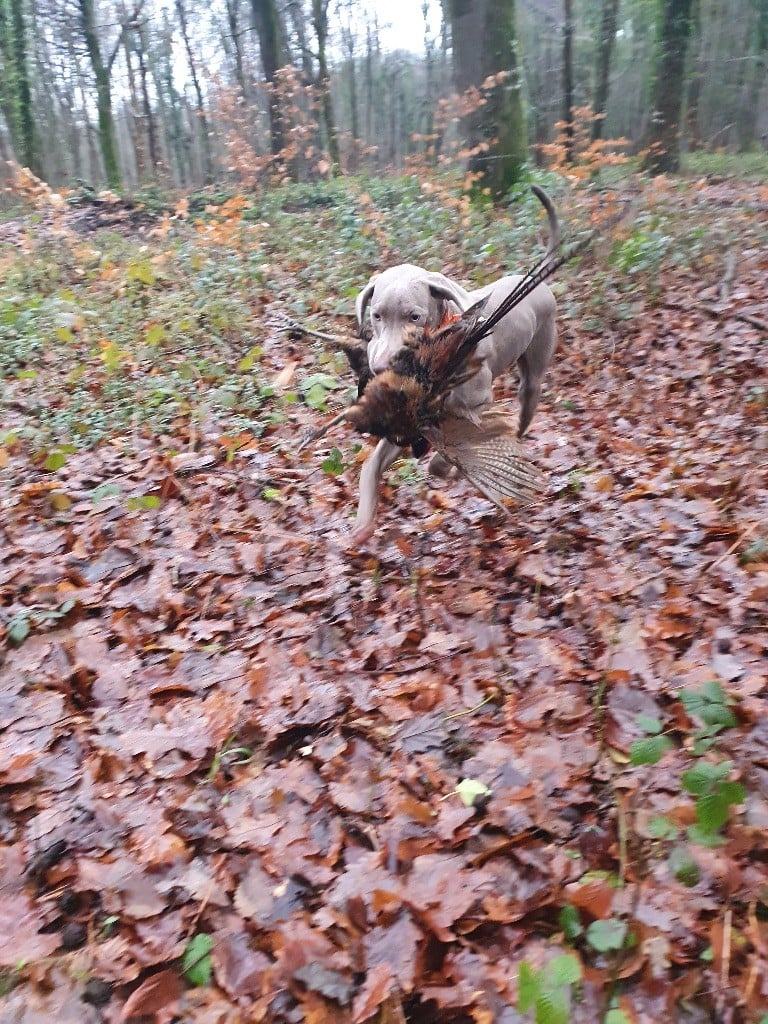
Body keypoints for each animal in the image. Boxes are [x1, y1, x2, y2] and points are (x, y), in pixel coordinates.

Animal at [350, 186, 559, 544]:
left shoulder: (478, 404)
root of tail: (535, 279)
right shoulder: (410, 421)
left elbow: (450, 452)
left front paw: (450, 470)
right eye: (376, 315)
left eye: (415, 317)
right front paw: (363, 522)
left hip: (534, 370)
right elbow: (371, 464)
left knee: (524, 411)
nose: (380, 368)